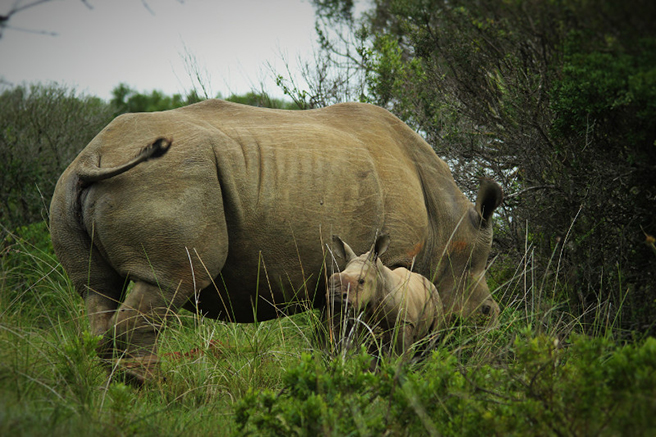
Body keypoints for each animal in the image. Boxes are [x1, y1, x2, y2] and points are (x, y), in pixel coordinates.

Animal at [50, 99, 502, 382]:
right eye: (484, 315)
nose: (489, 335)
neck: (450, 226)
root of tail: (94, 155)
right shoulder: (384, 262)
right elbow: (350, 337)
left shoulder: (339, 279)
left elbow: (330, 338)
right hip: (169, 178)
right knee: (168, 283)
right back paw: (158, 390)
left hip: (71, 185)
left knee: (97, 291)